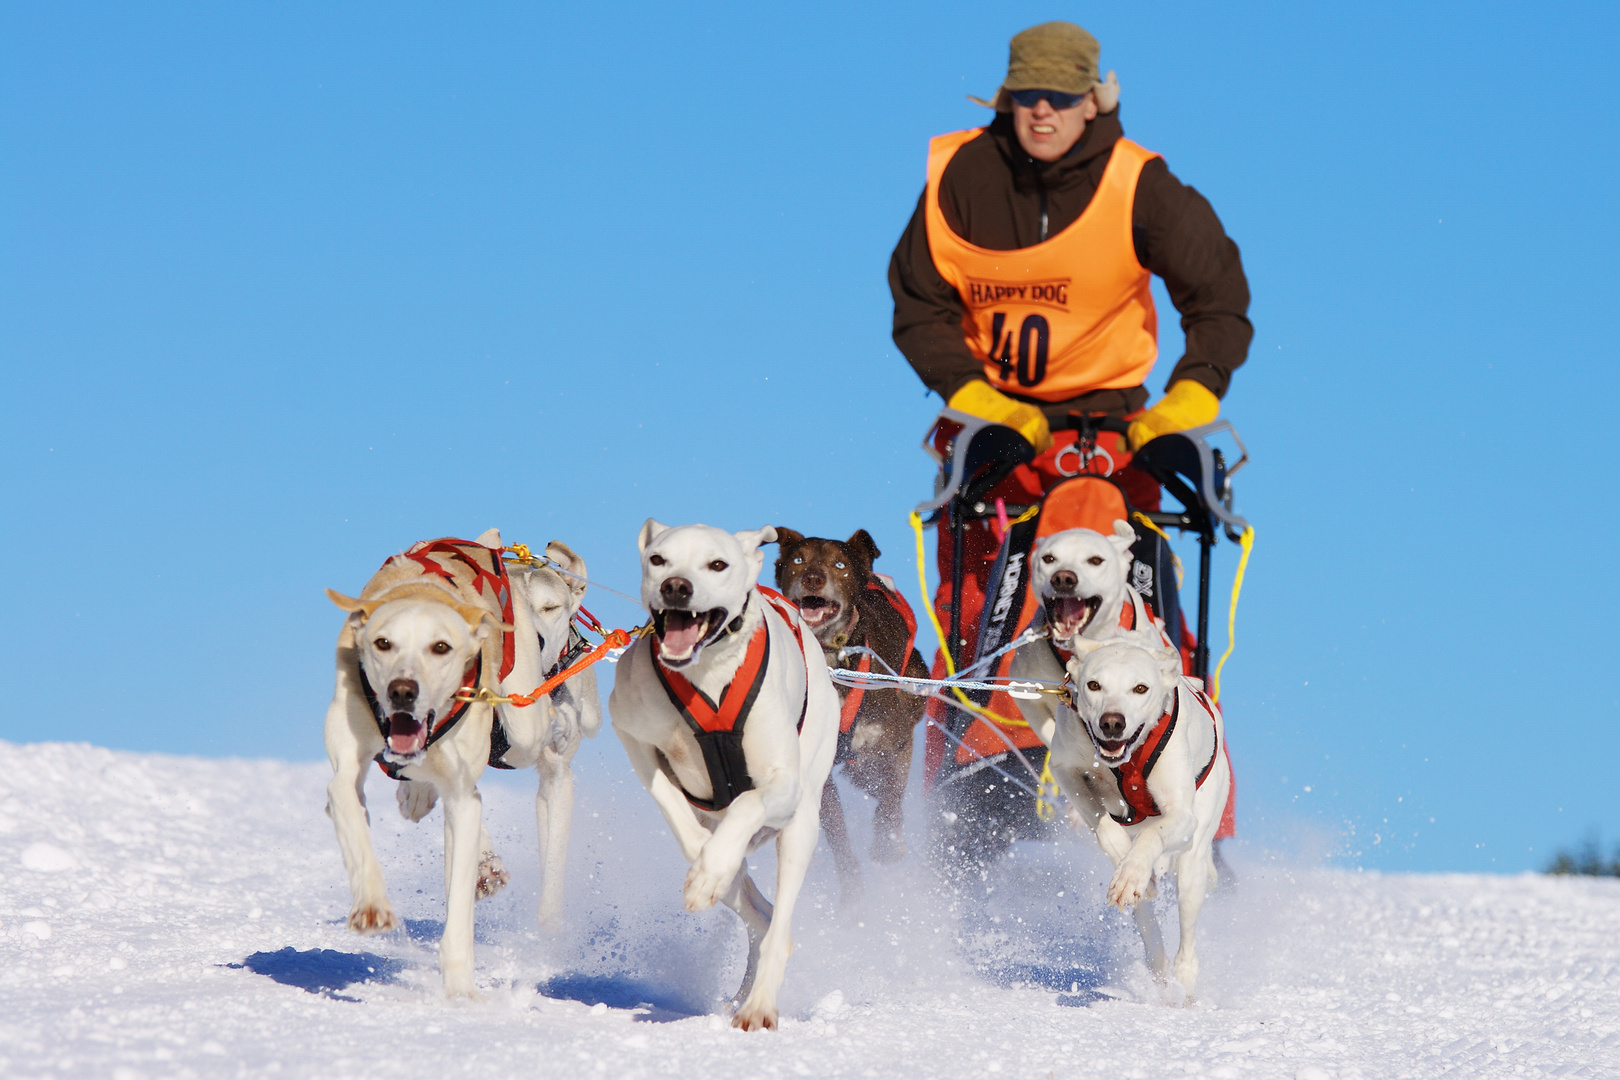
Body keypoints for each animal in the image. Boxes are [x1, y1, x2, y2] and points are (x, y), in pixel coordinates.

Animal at [605, 521, 835, 1029]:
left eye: (717, 564)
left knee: (778, 928)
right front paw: (708, 871)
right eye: (659, 559)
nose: (676, 587)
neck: (706, 673)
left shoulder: (782, 785)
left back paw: (759, 1004)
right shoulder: (632, 734)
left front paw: (710, 871)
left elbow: (748, 802)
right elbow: (675, 810)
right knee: (759, 915)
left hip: (801, 827)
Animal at [771, 527, 926, 900]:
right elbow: (838, 838)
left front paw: (887, 844)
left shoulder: (893, 742)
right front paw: (852, 896)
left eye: (839, 565)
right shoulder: (819, 771)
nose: (813, 578)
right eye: (798, 560)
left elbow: (891, 797)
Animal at [1049, 637, 1224, 1003]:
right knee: (1147, 923)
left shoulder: (1181, 814)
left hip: (1194, 866)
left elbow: (1152, 834)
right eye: (1094, 685)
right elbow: (1106, 829)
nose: (1112, 722)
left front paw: (1133, 870)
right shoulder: (1066, 770)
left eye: (1140, 688)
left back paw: (1183, 986)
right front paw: (1129, 870)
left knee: (1187, 944)